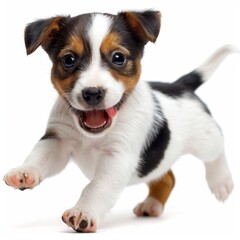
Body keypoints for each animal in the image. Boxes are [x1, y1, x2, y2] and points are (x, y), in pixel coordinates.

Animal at [3, 9, 235, 232]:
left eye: (118, 57)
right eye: (69, 59)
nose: (92, 93)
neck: (92, 136)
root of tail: (180, 86)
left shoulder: (118, 156)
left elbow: (96, 187)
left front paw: (83, 212)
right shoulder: (56, 140)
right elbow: (38, 158)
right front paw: (24, 172)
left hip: (205, 140)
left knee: (218, 147)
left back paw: (221, 181)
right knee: (167, 178)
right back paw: (152, 204)